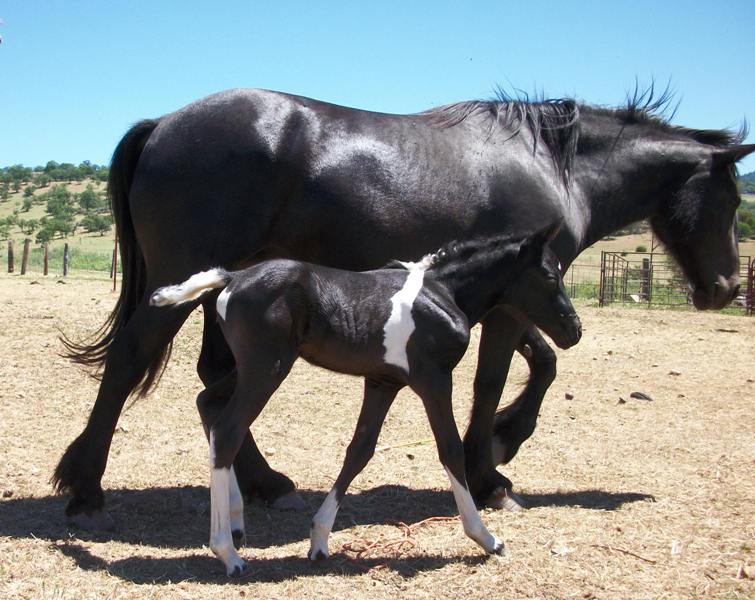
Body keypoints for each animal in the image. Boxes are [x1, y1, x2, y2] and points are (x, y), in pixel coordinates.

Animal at [54, 86, 752, 528]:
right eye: (729, 199)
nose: (724, 289)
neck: (556, 168)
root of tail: (163, 123)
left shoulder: (507, 299)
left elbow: (543, 363)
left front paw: (505, 443)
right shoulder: (512, 303)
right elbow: (495, 382)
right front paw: (491, 474)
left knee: (214, 383)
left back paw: (266, 484)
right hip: (176, 287)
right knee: (128, 362)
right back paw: (85, 490)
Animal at [151, 219, 580, 572]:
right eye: (548, 276)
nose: (573, 330)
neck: (443, 294)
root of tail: (231, 276)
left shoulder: (382, 382)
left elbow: (359, 450)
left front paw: (319, 540)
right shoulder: (433, 379)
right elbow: (450, 449)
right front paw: (486, 538)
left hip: (254, 368)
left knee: (208, 404)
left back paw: (238, 521)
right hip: (266, 369)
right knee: (228, 429)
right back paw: (227, 553)